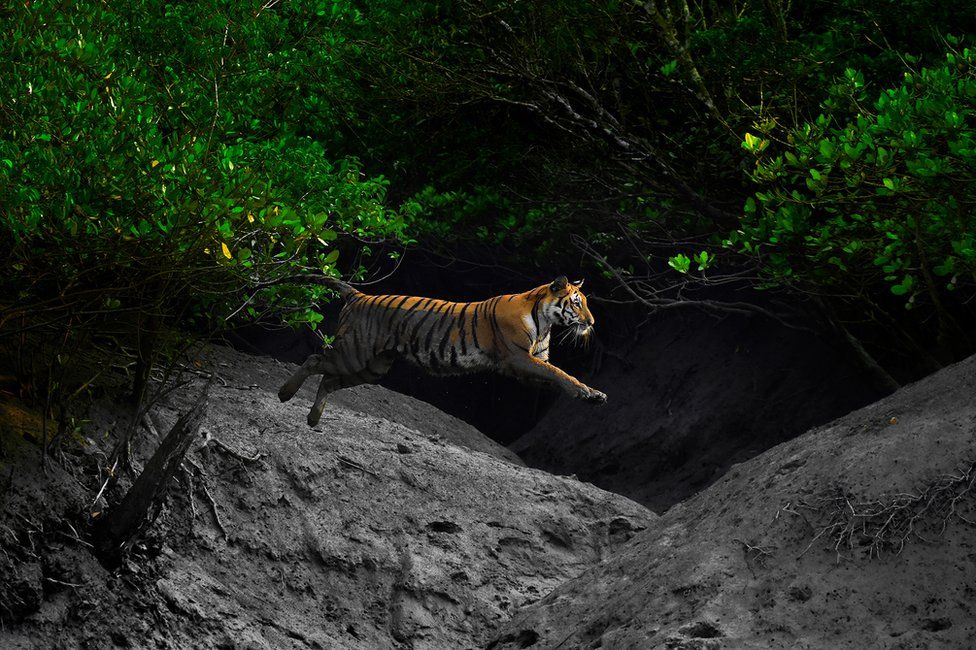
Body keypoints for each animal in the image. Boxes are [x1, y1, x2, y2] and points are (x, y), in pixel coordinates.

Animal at [274, 274, 608, 426]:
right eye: (577, 303)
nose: (592, 322)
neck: (546, 321)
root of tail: (359, 295)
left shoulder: (529, 364)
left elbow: (554, 376)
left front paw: (591, 395)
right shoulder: (516, 357)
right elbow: (560, 373)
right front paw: (588, 392)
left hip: (372, 366)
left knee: (329, 379)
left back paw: (313, 418)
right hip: (354, 352)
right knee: (315, 359)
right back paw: (285, 394)